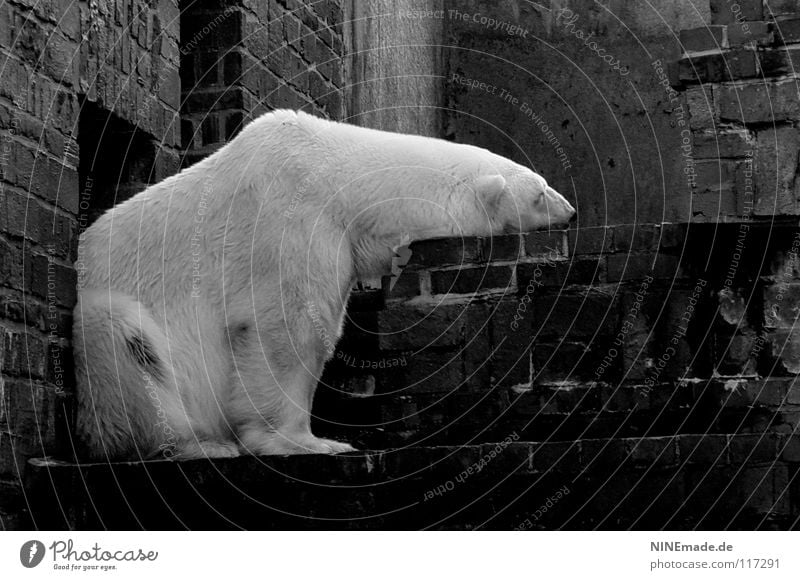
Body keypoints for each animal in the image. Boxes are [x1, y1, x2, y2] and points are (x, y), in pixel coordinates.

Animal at [73, 111, 576, 460]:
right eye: (541, 191)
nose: (572, 211)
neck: (339, 175)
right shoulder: (293, 222)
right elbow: (289, 329)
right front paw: (307, 442)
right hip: (104, 321)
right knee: (121, 340)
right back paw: (196, 444)